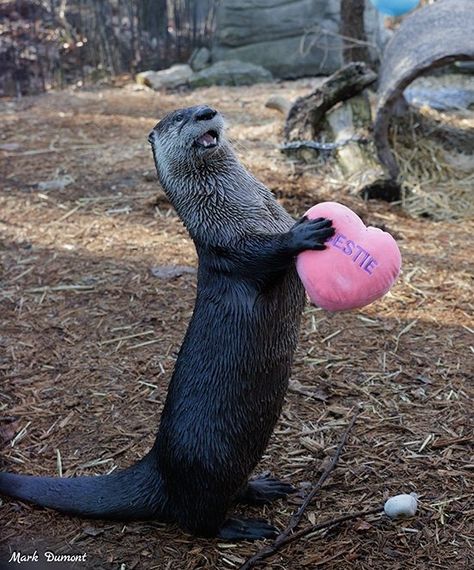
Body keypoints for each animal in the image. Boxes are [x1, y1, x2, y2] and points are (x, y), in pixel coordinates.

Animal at [0, 105, 334, 536]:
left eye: (201, 106)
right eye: (179, 118)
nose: (206, 112)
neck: (247, 213)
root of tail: (158, 463)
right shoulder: (228, 246)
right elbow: (261, 254)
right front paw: (303, 232)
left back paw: (262, 487)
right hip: (206, 465)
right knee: (197, 519)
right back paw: (241, 527)